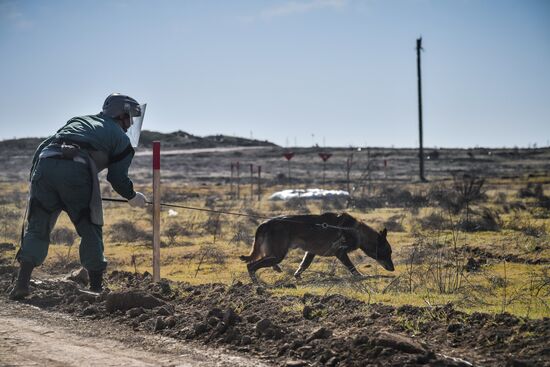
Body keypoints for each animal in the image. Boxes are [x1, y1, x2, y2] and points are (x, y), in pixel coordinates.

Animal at [239, 211, 394, 284]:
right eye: (387, 252)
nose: (393, 269)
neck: (355, 230)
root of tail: (264, 223)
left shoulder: (310, 252)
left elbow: (303, 266)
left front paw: (298, 277)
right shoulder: (341, 253)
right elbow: (352, 268)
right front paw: (361, 277)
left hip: (274, 255)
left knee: (257, 263)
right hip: (277, 255)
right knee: (251, 265)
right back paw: (257, 284)